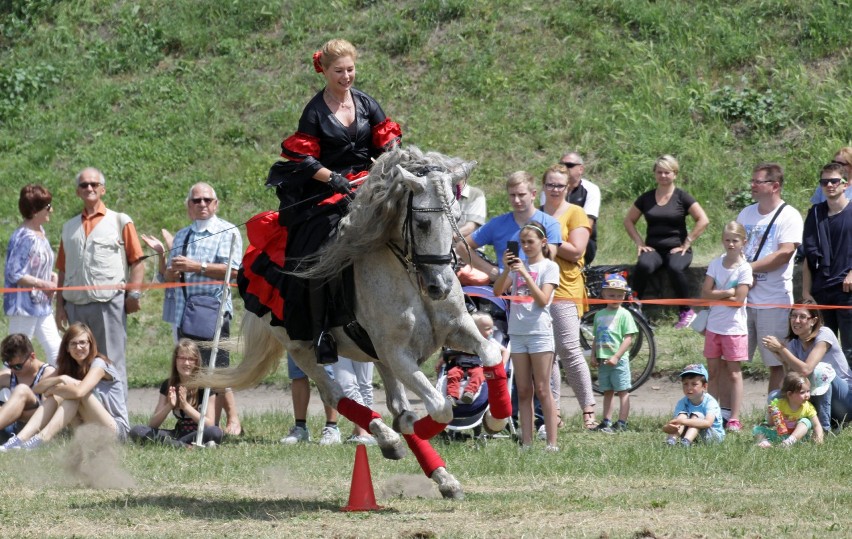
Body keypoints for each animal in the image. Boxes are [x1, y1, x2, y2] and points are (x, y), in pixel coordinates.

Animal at [196, 146, 510, 500]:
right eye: (423, 222)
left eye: (457, 217)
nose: (439, 287)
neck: (410, 275)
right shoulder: (397, 353)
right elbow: (441, 407)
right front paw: (420, 428)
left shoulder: (456, 330)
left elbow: (490, 353)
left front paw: (495, 419)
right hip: (303, 349)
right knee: (336, 395)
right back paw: (389, 440)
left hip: (377, 357)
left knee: (396, 405)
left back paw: (442, 476)